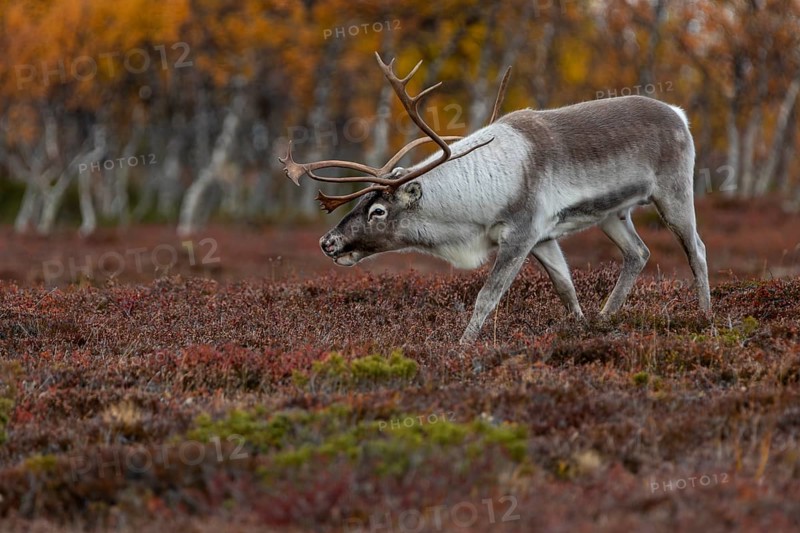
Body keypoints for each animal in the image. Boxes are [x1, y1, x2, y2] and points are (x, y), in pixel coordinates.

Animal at [280, 53, 711, 344]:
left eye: (378, 211)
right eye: (359, 203)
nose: (328, 241)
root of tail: (679, 114)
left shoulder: (521, 234)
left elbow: (487, 298)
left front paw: (461, 348)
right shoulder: (544, 238)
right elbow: (566, 287)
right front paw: (582, 329)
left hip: (673, 192)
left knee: (697, 248)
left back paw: (706, 318)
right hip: (613, 214)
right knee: (638, 253)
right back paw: (607, 317)